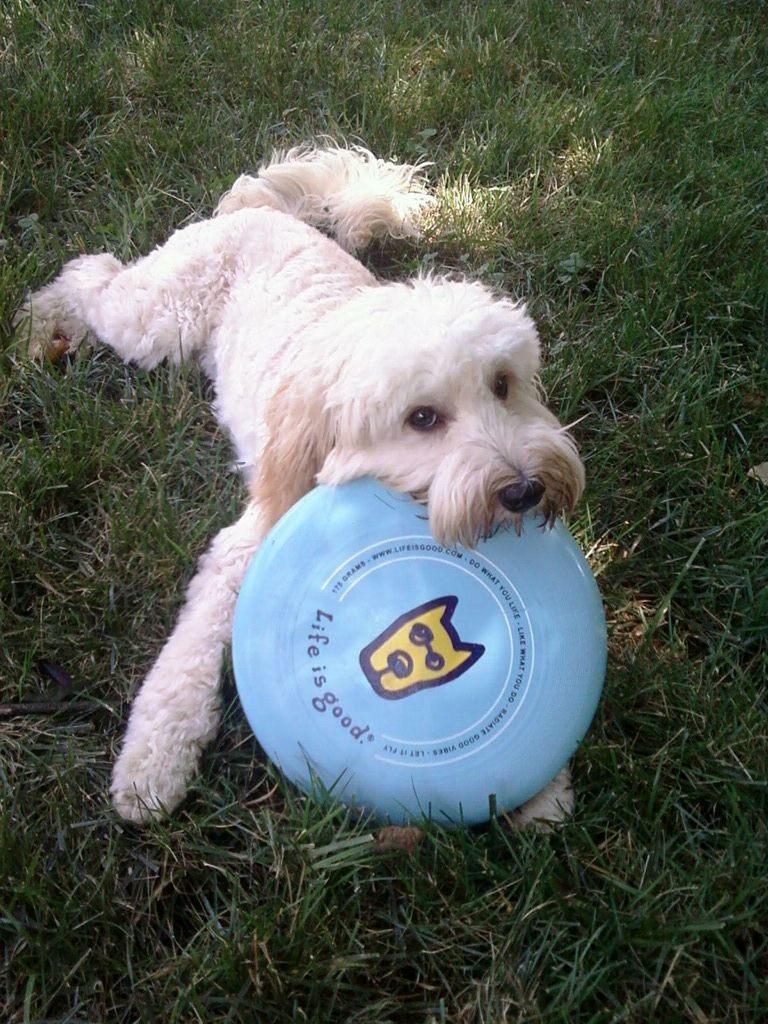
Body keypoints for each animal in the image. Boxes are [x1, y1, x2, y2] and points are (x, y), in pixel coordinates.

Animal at [16, 144, 581, 827]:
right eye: (423, 418)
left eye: (502, 384)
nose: (525, 491)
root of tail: (259, 208)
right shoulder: (245, 544)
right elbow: (184, 665)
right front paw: (153, 761)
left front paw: (544, 792)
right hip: (156, 321)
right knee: (91, 272)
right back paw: (39, 326)